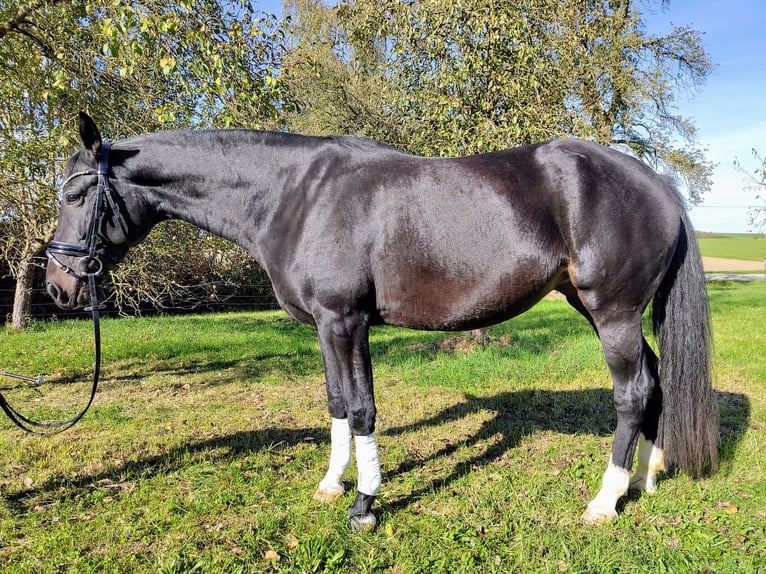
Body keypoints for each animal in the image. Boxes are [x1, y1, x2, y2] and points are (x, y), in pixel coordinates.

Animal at [48, 115, 720, 532]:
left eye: (75, 196)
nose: (57, 286)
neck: (295, 194)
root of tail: (655, 182)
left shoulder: (345, 321)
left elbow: (363, 408)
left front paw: (365, 505)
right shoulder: (330, 326)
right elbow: (338, 405)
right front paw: (333, 485)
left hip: (612, 312)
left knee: (632, 392)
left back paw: (605, 500)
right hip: (599, 308)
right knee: (656, 379)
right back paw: (649, 476)